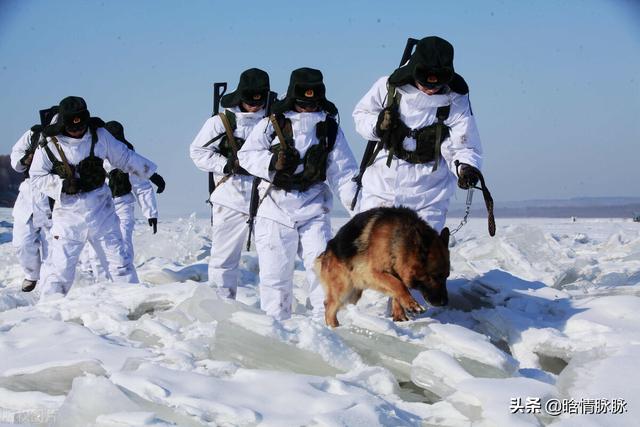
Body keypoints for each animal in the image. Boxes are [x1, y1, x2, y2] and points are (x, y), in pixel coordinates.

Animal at [316, 207, 450, 328]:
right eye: (435, 276)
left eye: (446, 276)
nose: (445, 303)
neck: (397, 242)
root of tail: (326, 251)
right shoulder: (373, 273)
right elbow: (398, 285)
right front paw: (412, 304)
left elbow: (398, 289)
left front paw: (400, 315)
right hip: (343, 290)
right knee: (329, 307)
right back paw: (334, 328)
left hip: (353, 294)